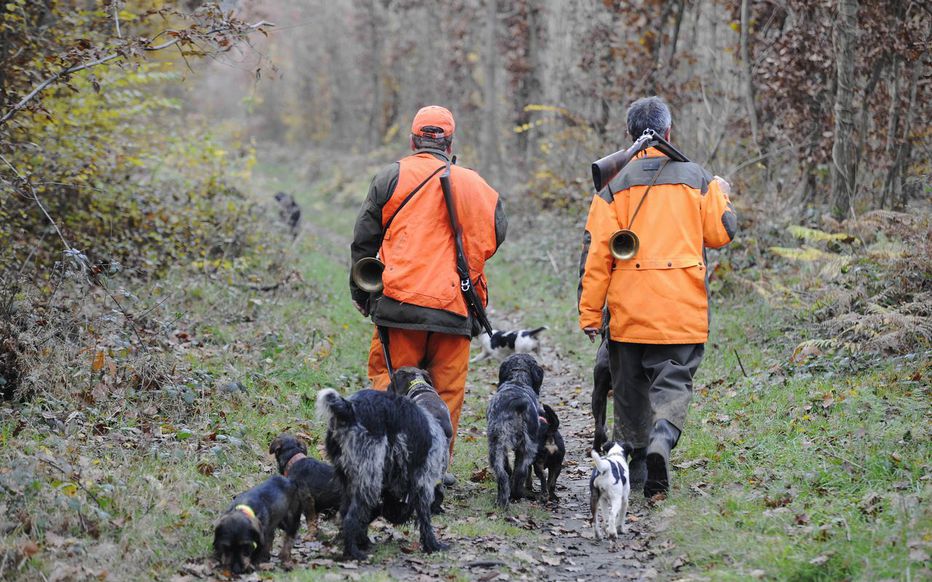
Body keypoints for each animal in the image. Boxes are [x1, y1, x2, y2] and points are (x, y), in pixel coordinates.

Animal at [316, 388, 448, 560]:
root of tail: (349, 409)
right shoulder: (423, 483)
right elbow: (425, 519)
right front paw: (432, 545)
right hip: (370, 480)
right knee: (350, 519)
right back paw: (354, 553)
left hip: (350, 480)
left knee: (345, 514)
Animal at [488, 354, 548, 508]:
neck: (518, 379)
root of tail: (518, 403)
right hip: (526, 447)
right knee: (520, 472)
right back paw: (519, 494)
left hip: (496, 444)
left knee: (504, 474)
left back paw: (503, 500)